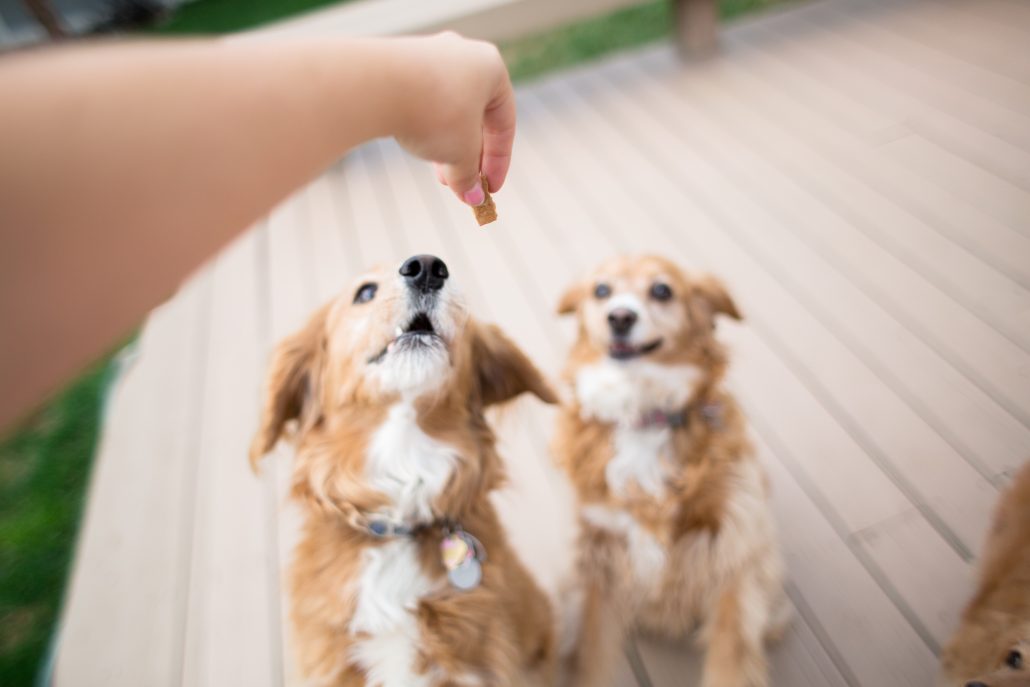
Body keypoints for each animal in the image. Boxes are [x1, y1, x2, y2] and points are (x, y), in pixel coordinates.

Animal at [556, 256, 786, 687]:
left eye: (662, 290)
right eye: (601, 290)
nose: (620, 317)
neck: (643, 413)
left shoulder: (731, 554)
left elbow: (731, 662)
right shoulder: (600, 558)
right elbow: (590, 655)